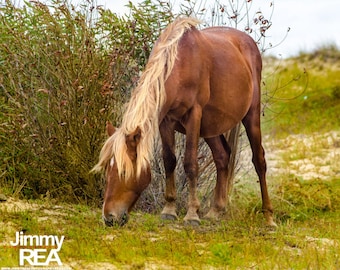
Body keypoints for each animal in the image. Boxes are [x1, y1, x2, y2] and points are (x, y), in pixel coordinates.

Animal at [92, 16, 276, 227]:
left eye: (123, 171)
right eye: (107, 168)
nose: (109, 217)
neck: (178, 65)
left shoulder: (193, 116)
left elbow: (190, 163)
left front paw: (192, 214)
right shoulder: (165, 121)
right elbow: (169, 160)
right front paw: (169, 210)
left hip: (250, 115)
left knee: (259, 160)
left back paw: (269, 217)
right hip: (210, 126)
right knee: (222, 156)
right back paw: (215, 210)